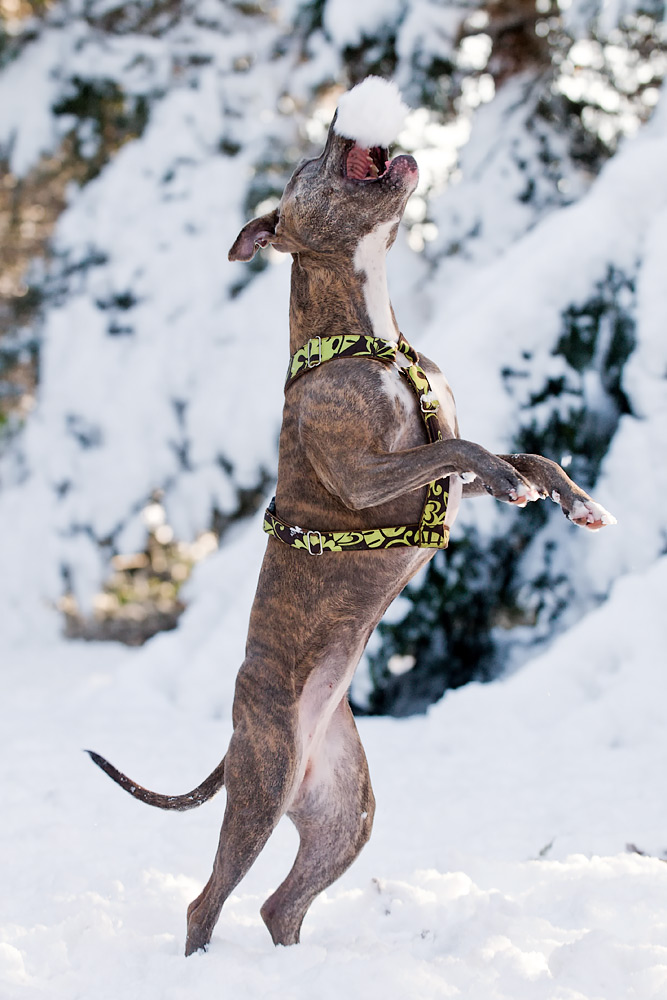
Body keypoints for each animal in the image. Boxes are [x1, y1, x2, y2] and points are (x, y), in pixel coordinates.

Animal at [88, 76, 616, 952]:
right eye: (310, 162)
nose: (342, 117)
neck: (370, 332)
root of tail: (252, 736)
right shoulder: (367, 479)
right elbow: (466, 447)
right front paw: (518, 483)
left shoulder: (432, 482)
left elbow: (521, 454)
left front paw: (573, 498)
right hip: (264, 783)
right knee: (208, 899)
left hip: (343, 811)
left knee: (281, 904)